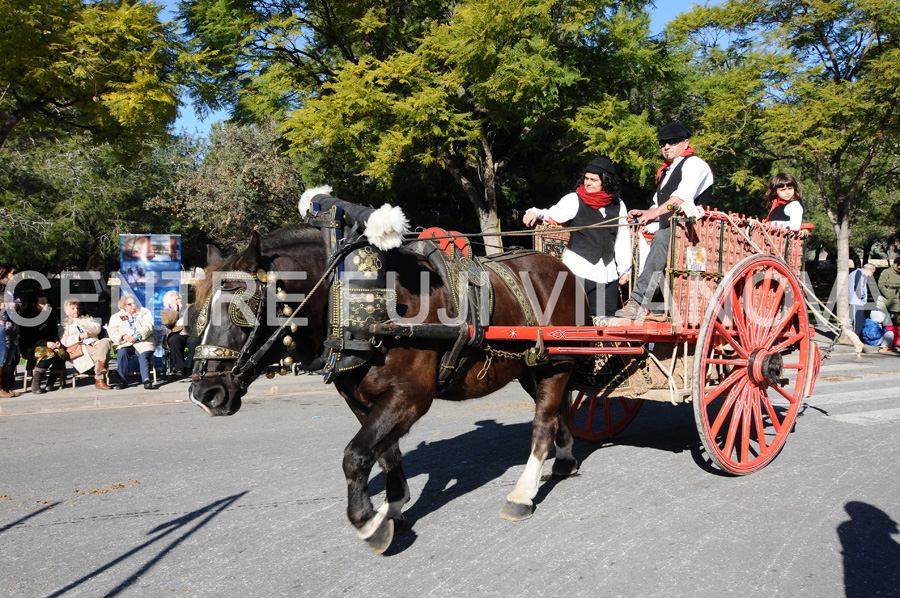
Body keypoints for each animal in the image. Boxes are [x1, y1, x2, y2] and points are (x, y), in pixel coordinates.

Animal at [189, 198, 584, 556]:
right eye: (198, 312)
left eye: (242, 308)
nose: (205, 393)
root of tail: (558, 267)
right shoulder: (362, 402)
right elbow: (385, 454)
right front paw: (391, 508)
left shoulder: (409, 396)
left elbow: (355, 454)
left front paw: (367, 521)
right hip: (534, 365)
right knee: (556, 411)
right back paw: (565, 457)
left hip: (556, 362)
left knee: (543, 423)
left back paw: (522, 493)